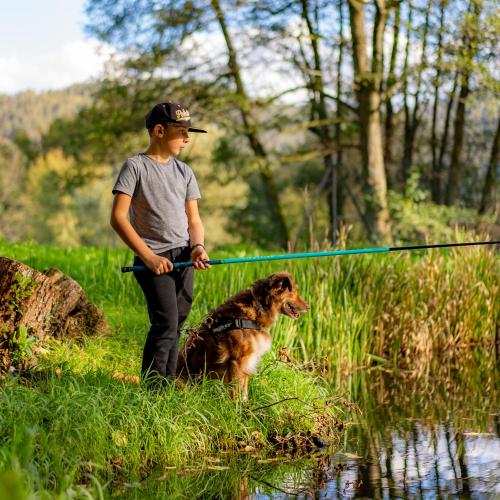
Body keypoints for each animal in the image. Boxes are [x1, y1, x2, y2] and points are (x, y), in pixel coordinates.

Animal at [176, 272, 308, 400]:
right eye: (294, 292)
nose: (308, 307)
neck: (258, 307)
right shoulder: (236, 361)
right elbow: (235, 392)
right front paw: (236, 407)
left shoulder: (246, 361)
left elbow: (244, 392)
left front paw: (245, 406)